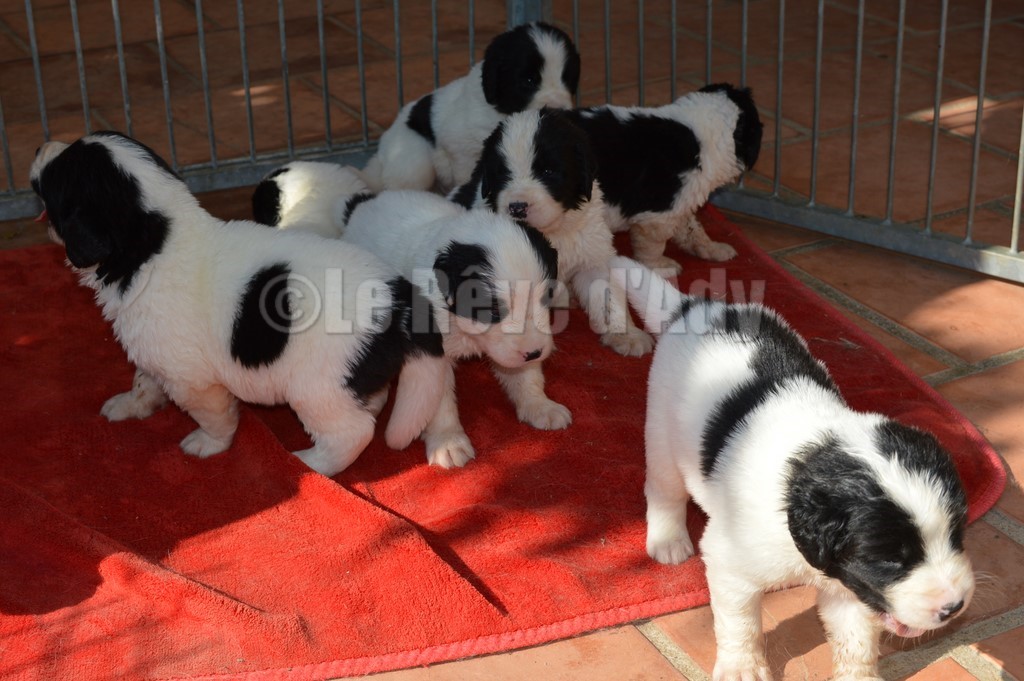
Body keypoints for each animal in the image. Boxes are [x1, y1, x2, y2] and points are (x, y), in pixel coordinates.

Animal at [30, 131, 447, 477]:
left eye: (57, 173)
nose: (38, 147)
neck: (151, 245)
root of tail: (399, 297)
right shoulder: (156, 350)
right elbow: (143, 379)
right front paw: (132, 405)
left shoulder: (193, 380)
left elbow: (213, 415)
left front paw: (208, 444)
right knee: (372, 400)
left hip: (318, 386)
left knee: (352, 432)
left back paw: (310, 463)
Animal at [361, 21, 579, 194]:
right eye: (529, 80)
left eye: (566, 79)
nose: (560, 109)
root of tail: (380, 154)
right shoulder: (462, 150)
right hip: (414, 157)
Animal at [451, 107, 654, 358]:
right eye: (503, 174)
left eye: (548, 171)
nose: (517, 207)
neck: (551, 234)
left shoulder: (592, 253)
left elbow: (608, 294)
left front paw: (627, 335)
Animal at [568, 84, 763, 274]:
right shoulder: (657, 214)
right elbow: (654, 245)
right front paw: (660, 267)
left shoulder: (680, 202)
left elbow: (692, 227)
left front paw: (712, 248)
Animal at [611, 257, 974, 681]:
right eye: (890, 559)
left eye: (956, 536)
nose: (955, 607)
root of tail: (694, 307)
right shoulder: (729, 562)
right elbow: (740, 623)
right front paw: (741, 667)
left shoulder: (848, 583)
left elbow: (856, 638)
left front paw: (858, 675)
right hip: (662, 428)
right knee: (663, 486)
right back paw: (667, 540)